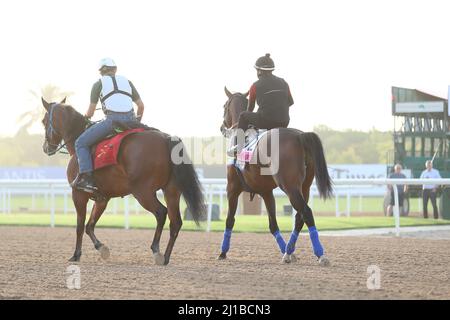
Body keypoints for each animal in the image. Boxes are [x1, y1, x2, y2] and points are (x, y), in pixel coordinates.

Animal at [40, 97, 206, 264]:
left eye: (43, 121)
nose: (46, 148)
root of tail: (166, 138)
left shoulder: (78, 194)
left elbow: (80, 226)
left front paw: (76, 254)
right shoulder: (102, 198)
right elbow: (90, 225)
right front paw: (102, 248)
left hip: (143, 192)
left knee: (161, 212)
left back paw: (156, 250)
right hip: (171, 191)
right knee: (175, 222)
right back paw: (165, 257)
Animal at [220, 87, 332, 264]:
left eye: (224, 106)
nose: (222, 127)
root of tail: (299, 136)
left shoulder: (232, 189)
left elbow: (230, 220)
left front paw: (223, 252)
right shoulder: (266, 192)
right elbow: (273, 225)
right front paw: (287, 251)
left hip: (290, 187)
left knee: (306, 212)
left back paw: (320, 254)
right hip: (304, 187)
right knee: (299, 217)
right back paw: (288, 252)